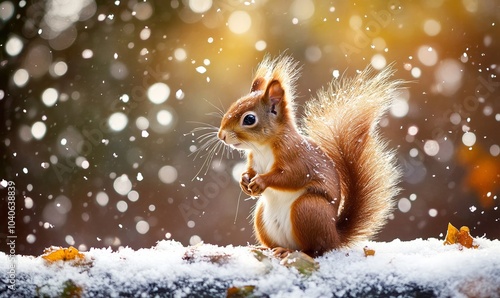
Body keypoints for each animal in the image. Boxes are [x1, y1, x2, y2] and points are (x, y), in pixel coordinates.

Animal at [217, 55, 400, 256]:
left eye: (249, 119)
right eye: (234, 105)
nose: (221, 135)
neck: (262, 147)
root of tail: (335, 236)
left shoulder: (297, 158)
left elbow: (290, 176)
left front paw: (261, 181)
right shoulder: (254, 160)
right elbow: (250, 170)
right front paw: (244, 180)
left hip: (307, 209)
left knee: (314, 249)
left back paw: (292, 252)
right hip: (262, 217)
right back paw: (266, 248)